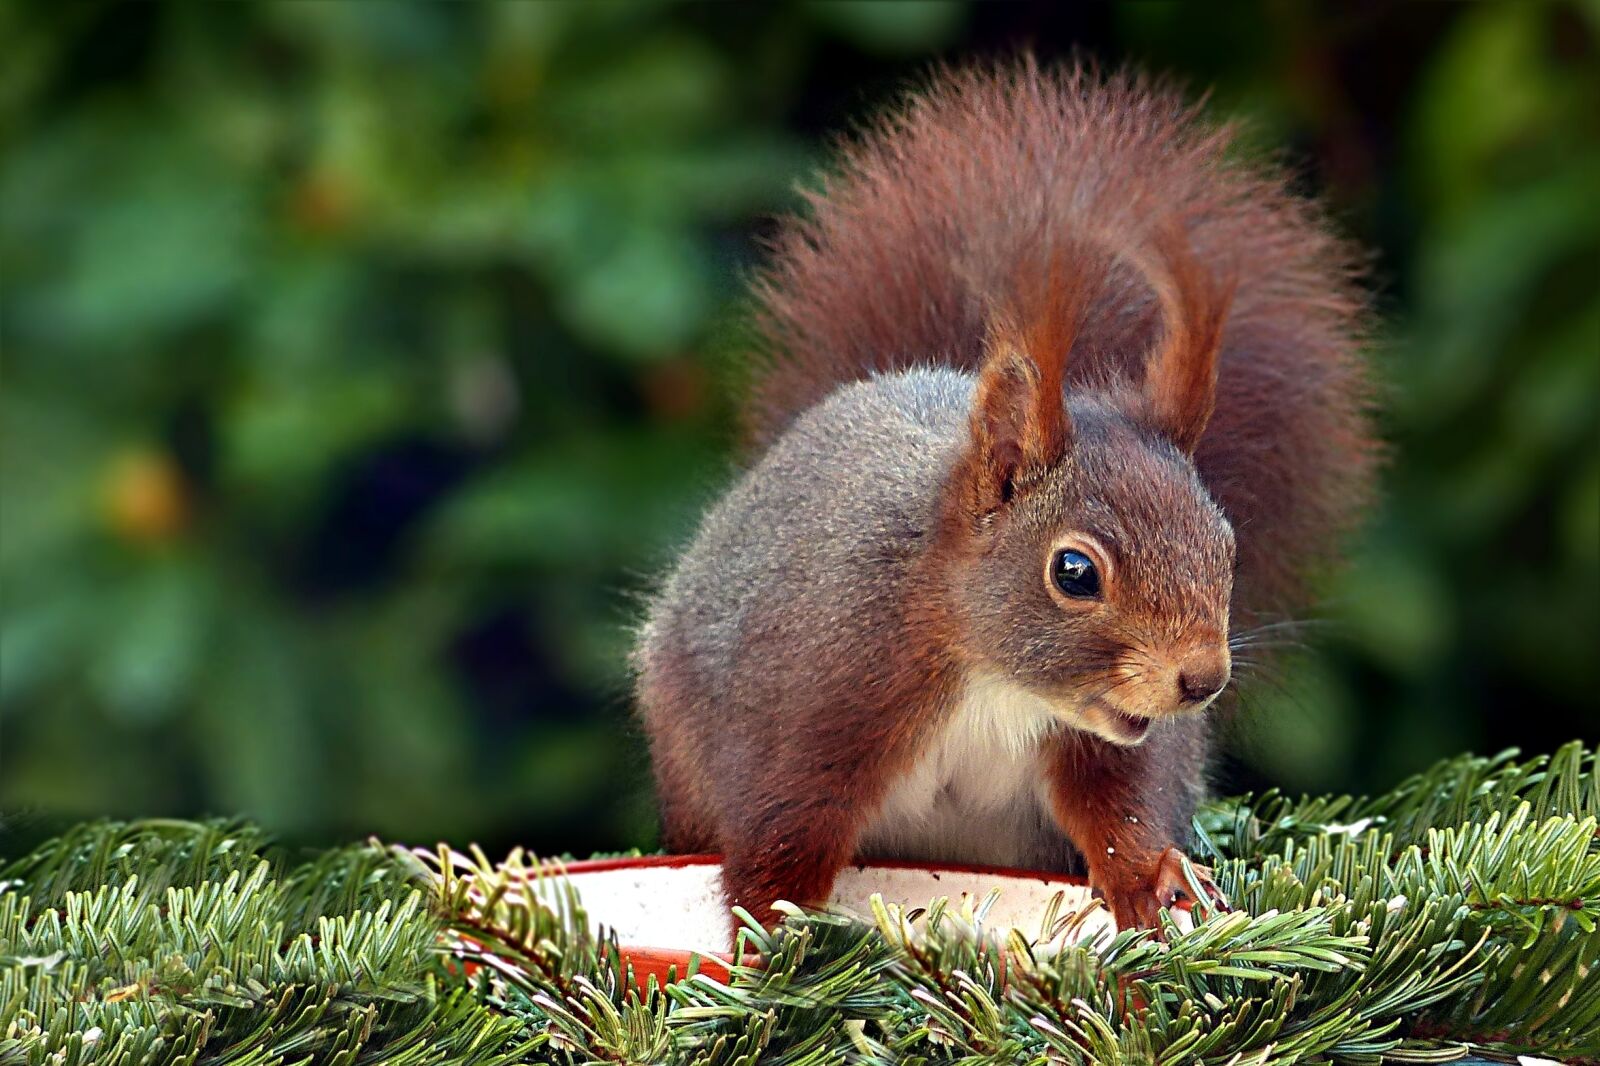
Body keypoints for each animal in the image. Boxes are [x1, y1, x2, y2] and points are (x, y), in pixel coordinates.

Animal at [634, 59, 1375, 931]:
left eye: (1226, 546)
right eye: (1075, 573)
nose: (1202, 680)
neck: (994, 679)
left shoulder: (1104, 742)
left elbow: (1118, 812)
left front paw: (1157, 876)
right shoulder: (820, 698)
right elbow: (781, 833)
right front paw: (767, 940)